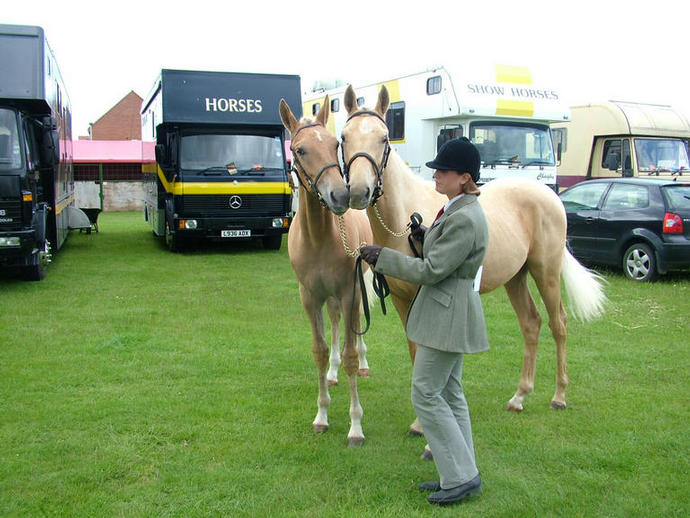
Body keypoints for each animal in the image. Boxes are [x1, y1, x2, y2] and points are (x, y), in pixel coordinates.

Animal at [280, 96, 376, 446]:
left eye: (335, 143)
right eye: (300, 149)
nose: (340, 195)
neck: (320, 238)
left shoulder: (349, 291)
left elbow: (349, 353)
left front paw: (356, 426)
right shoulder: (309, 297)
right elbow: (320, 351)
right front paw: (321, 415)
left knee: (356, 327)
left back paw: (363, 365)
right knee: (335, 325)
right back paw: (333, 375)